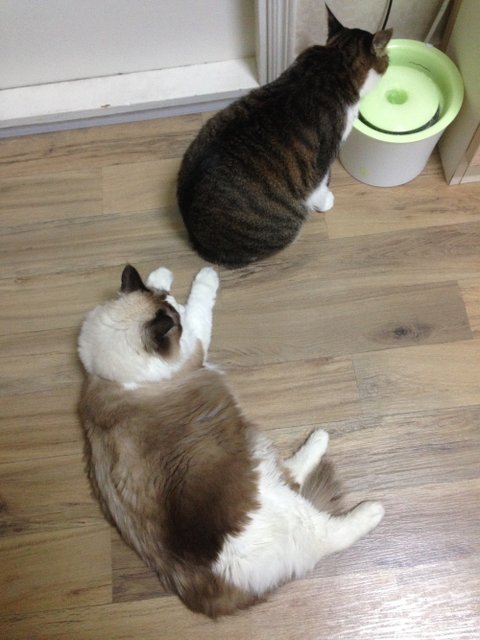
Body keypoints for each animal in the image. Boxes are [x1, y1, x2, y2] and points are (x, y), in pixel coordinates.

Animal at [78, 264, 384, 617]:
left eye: (172, 307)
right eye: (176, 321)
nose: (177, 308)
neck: (109, 375)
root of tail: (212, 595)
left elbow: (164, 284)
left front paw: (161, 275)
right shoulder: (195, 344)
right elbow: (201, 300)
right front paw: (206, 275)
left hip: (262, 469)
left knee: (289, 473)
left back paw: (319, 438)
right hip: (285, 509)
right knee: (329, 532)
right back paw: (370, 506)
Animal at [177, 7, 392, 268]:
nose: (390, 62)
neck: (335, 59)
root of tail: (195, 238)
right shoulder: (324, 156)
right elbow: (319, 184)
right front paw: (325, 201)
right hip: (283, 227)